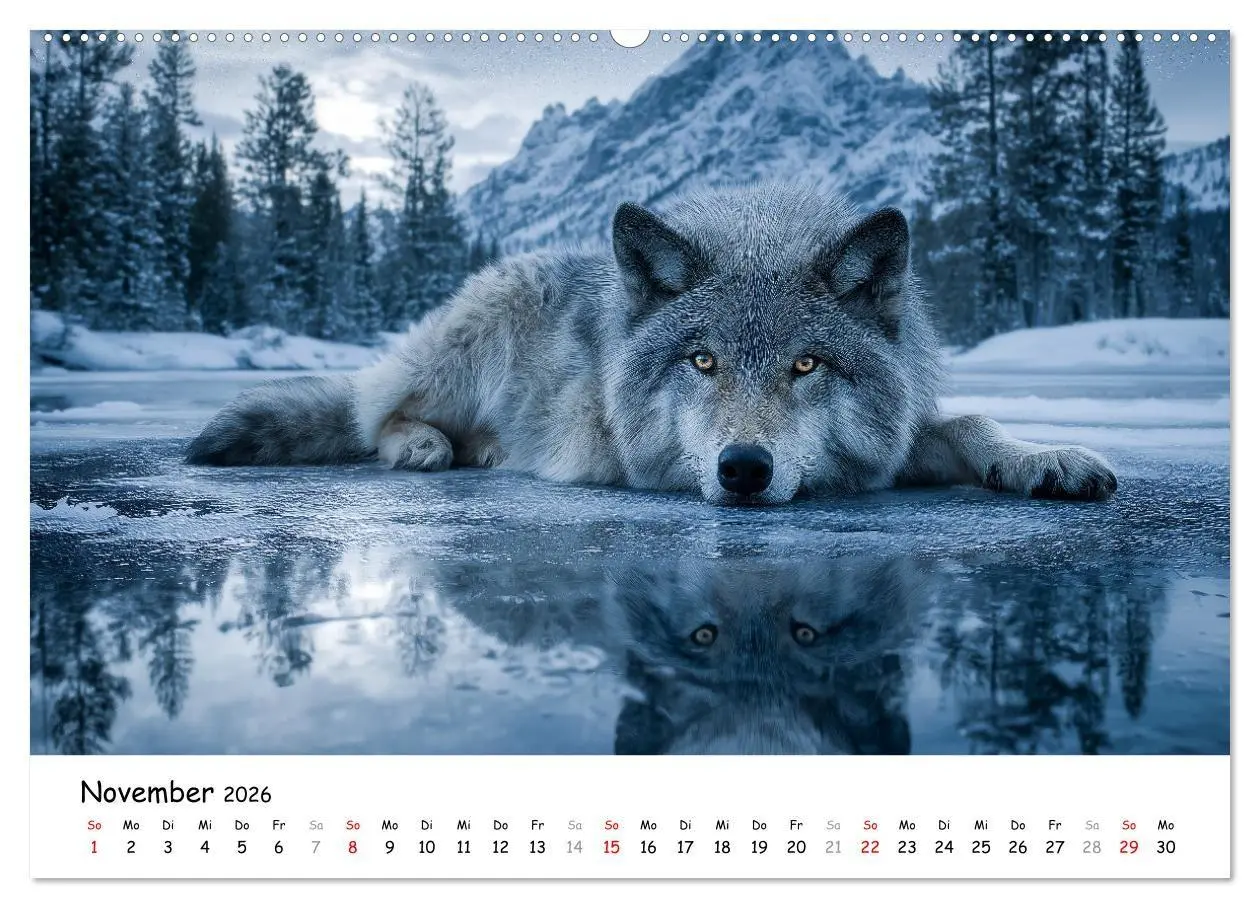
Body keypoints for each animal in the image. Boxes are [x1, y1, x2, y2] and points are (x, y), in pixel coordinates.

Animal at [187, 185, 1117, 506]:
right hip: (465, 347)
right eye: (701, 361)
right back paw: (424, 444)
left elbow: (969, 425)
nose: (744, 469)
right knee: (374, 410)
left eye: (806, 365)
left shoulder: (888, 443)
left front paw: (1043, 458)